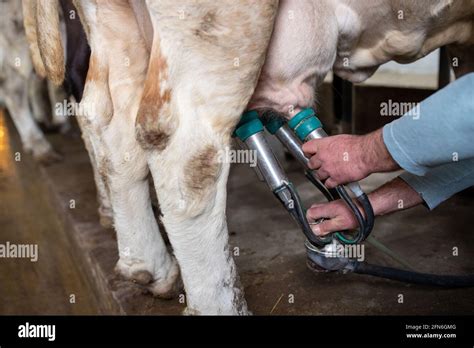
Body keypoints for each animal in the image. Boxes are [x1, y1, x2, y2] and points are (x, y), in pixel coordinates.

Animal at [27, 0, 474, 316]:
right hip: (220, 30)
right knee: (187, 154)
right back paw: (220, 305)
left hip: (115, 27)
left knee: (108, 122)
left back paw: (151, 268)